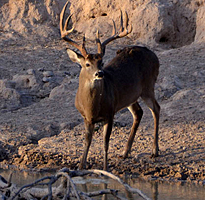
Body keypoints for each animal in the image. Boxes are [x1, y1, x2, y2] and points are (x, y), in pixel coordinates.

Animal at [59, 1, 160, 170]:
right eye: (87, 64)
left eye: (102, 62)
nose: (100, 73)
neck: (92, 107)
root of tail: (155, 56)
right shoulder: (86, 118)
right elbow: (87, 142)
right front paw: (81, 167)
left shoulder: (110, 113)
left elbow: (105, 143)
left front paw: (105, 169)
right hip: (130, 97)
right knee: (138, 112)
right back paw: (125, 153)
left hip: (148, 86)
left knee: (156, 108)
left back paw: (154, 151)